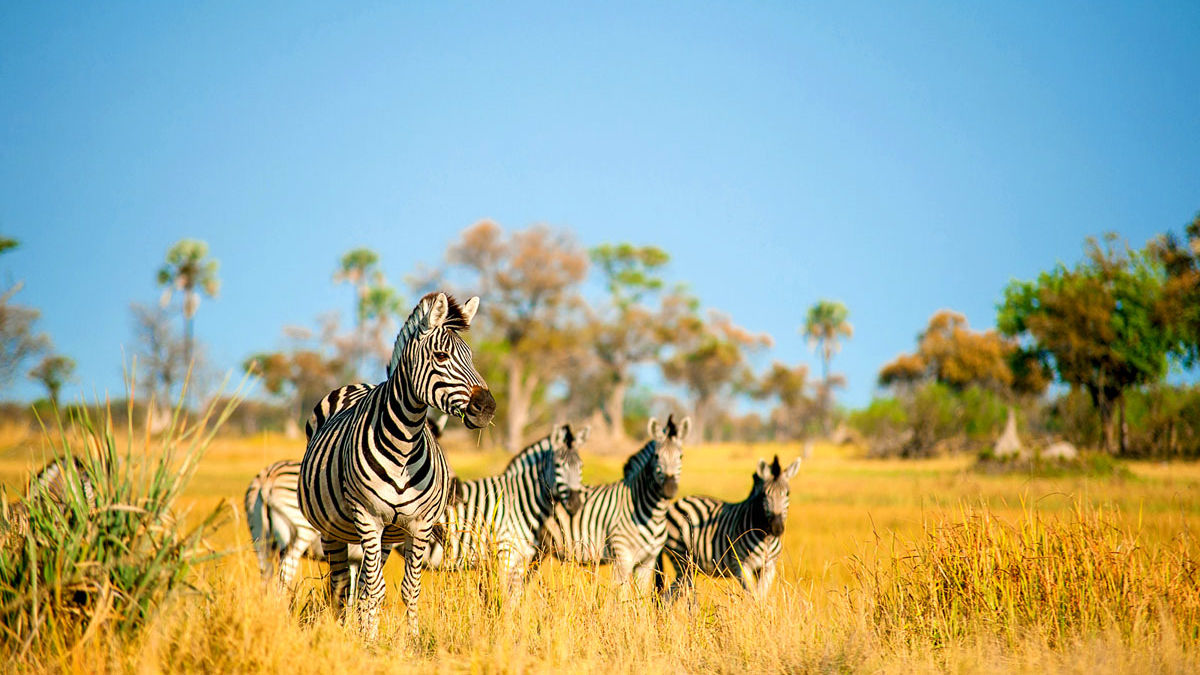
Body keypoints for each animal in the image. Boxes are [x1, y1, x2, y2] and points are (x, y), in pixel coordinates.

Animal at [300, 290, 496, 634]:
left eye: (471, 357)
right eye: (441, 357)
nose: (487, 407)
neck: (404, 442)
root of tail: (354, 385)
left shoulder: (419, 524)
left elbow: (408, 588)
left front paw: (411, 638)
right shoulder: (368, 517)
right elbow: (375, 588)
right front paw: (367, 641)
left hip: (384, 538)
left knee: (361, 586)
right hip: (333, 530)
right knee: (341, 585)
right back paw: (343, 631)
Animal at [429, 420, 588, 593]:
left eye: (581, 467)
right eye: (559, 466)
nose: (575, 504)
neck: (519, 500)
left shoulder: (520, 558)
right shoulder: (506, 553)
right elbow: (503, 596)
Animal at [540, 413, 691, 590]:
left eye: (680, 456)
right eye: (657, 456)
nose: (669, 488)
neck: (653, 512)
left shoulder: (648, 561)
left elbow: (641, 595)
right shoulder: (622, 557)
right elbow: (621, 593)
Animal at [652, 454, 801, 600]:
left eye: (787, 493)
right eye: (765, 494)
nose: (777, 527)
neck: (766, 538)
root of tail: (674, 504)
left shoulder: (768, 567)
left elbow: (761, 598)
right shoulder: (742, 565)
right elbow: (753, 597)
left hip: (691, 567)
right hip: (682, 558)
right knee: (669, 595)